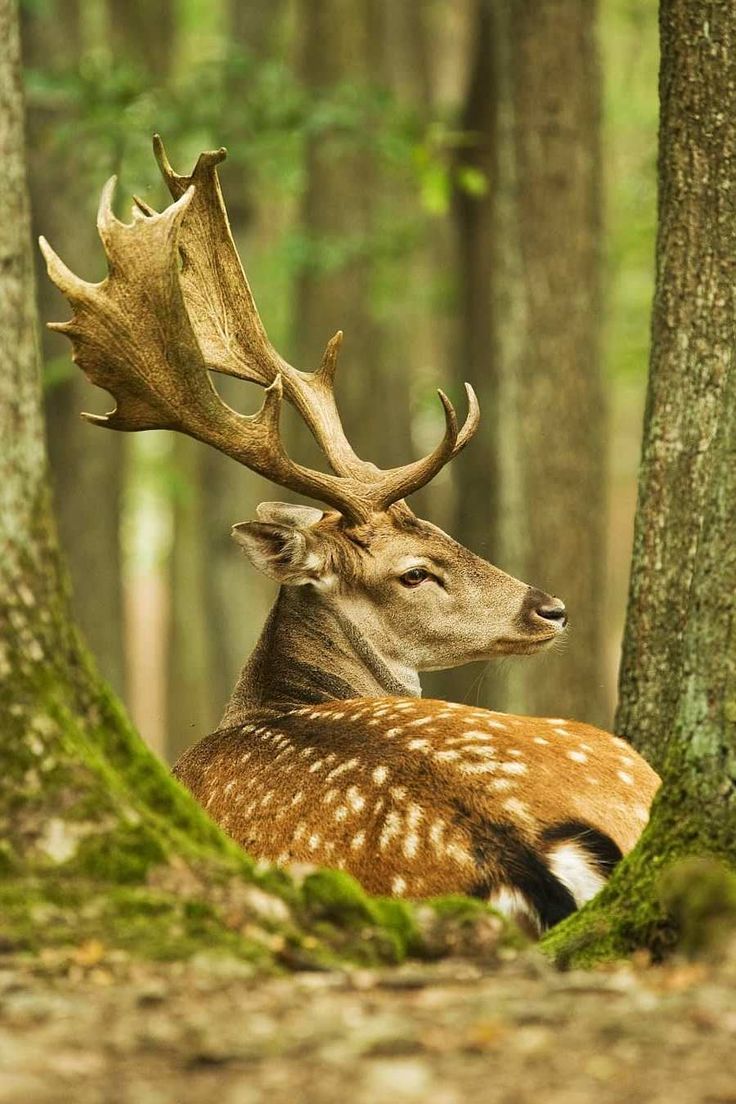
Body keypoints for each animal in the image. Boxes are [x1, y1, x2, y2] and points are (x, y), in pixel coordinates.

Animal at [41, 135, 662, 931]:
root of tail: (514, 850)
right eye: (414, 570)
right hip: (613, 753)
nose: (548, 608)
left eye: (443, 529)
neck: (276, 697)